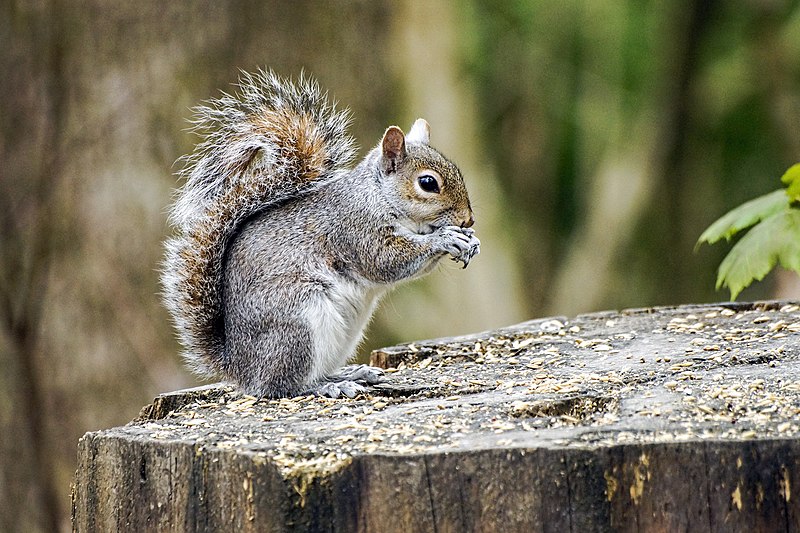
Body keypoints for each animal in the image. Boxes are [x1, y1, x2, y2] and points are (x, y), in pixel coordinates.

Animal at [159, 68, 478, 396]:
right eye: (428, 183)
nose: (468, 220)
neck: (378, 196)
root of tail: (239, 366)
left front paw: (470, 242)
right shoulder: (356, 228)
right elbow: (385, 261)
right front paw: (446, 238)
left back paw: (352, 374)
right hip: (298, 325)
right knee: (282, 385)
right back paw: (325, 387)